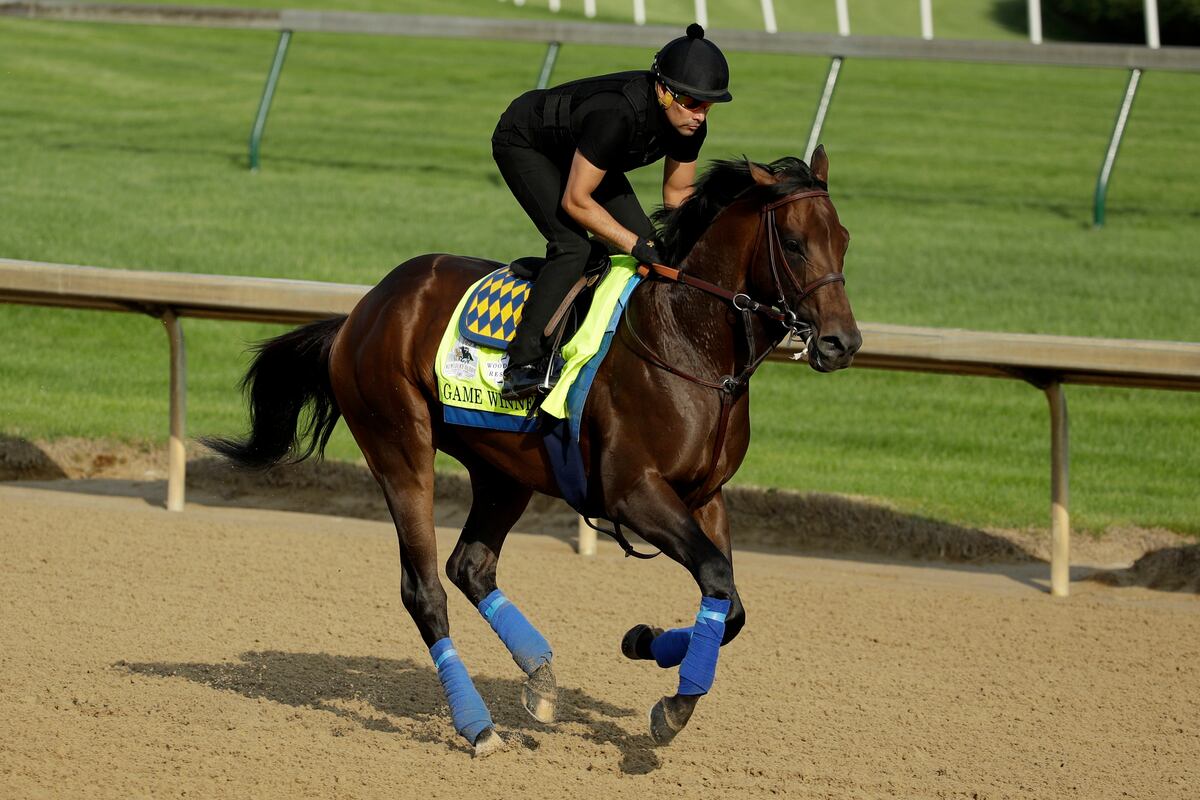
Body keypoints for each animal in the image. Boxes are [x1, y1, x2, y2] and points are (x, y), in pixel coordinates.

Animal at [205, 147, 861, 757]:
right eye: (795, 244)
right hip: (398, 445)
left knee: (470, 566)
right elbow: (718, 579)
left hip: (502, 471)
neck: (687, 343)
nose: (842, 342)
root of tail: (362, 311)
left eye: (844, 240)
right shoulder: (633, 494)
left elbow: (730, 602)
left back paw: (540, 677)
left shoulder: (706, 497)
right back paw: (477, 725)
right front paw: (673, 704)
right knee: (424, 588)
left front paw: (645, 642)